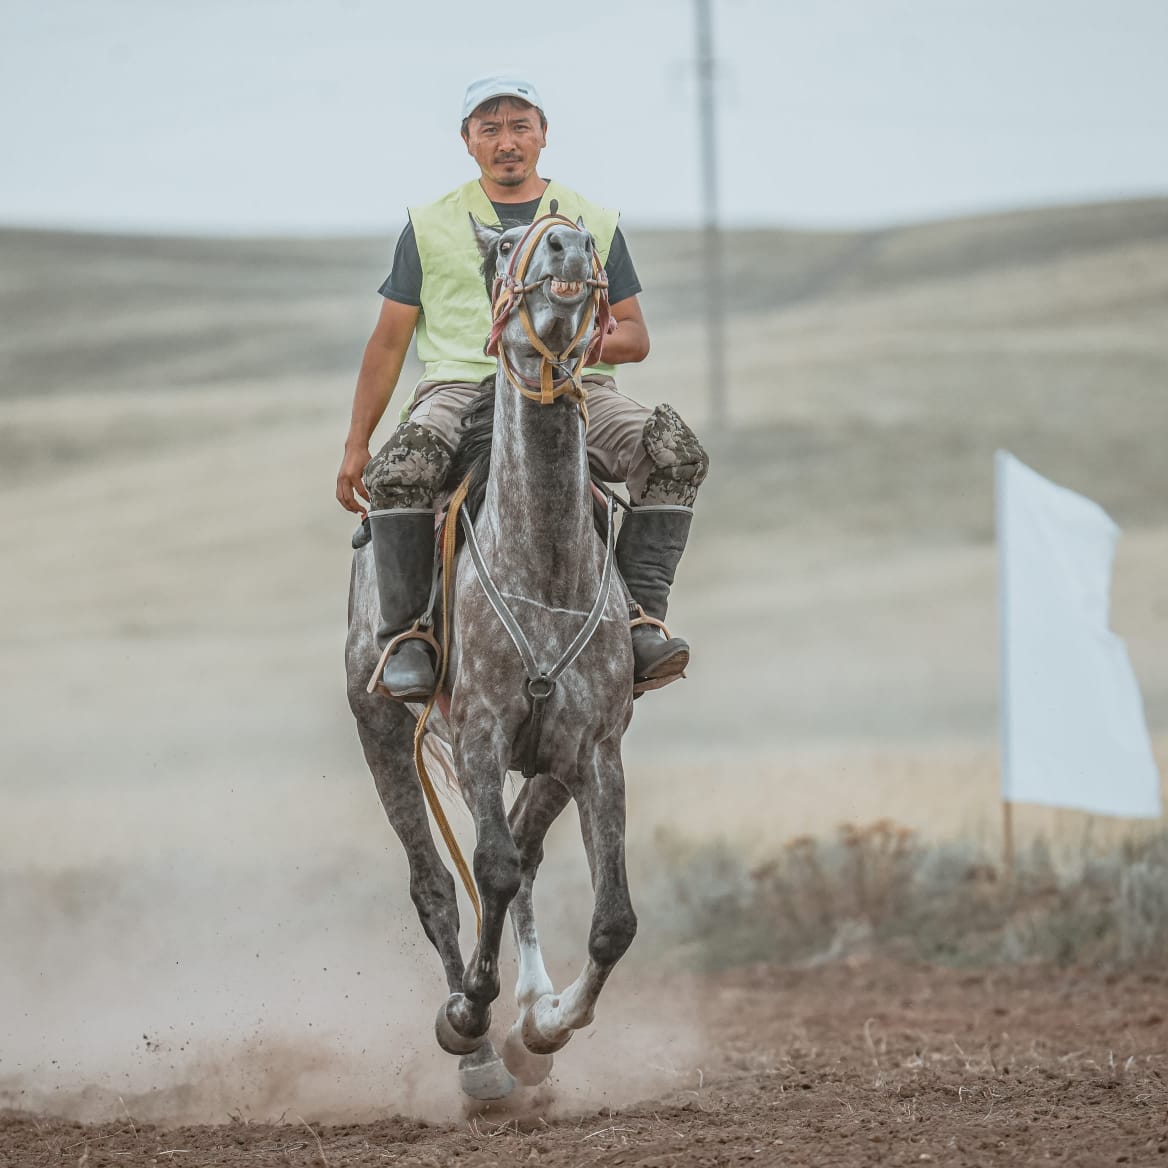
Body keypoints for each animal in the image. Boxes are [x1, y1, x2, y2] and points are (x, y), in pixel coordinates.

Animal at [343, 214, 640, 1097]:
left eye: (590, 239)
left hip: (548, 763)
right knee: (439, 884)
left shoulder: (595, 750)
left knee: (529, 856)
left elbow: (613, 919)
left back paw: (529, 1016)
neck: (542, 557)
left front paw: (545, 1026)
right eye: (505, 247)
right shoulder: (478, 732)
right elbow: (491, 871)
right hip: (381, 728)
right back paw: (476, 1061)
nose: (566, 248)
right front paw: (473, 1015)